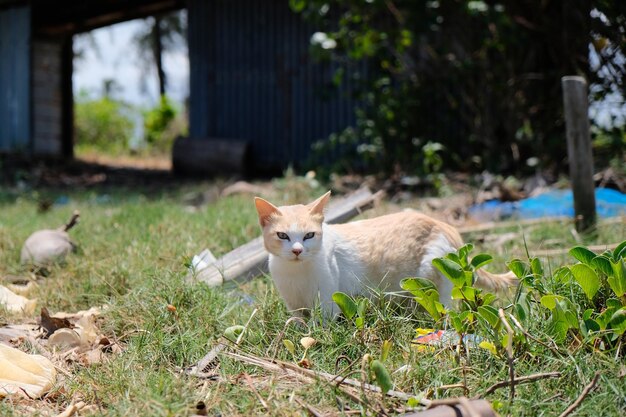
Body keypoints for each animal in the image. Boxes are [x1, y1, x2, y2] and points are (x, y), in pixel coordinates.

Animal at [251, 191, 516, 316]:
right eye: (283, 236)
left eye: (309, 235)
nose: (297, 250)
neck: (295, 272)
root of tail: (444, 225)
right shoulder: (294, 306)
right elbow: (298, 324)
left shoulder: (328, 303)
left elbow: (320, 327)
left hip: (435, 279)